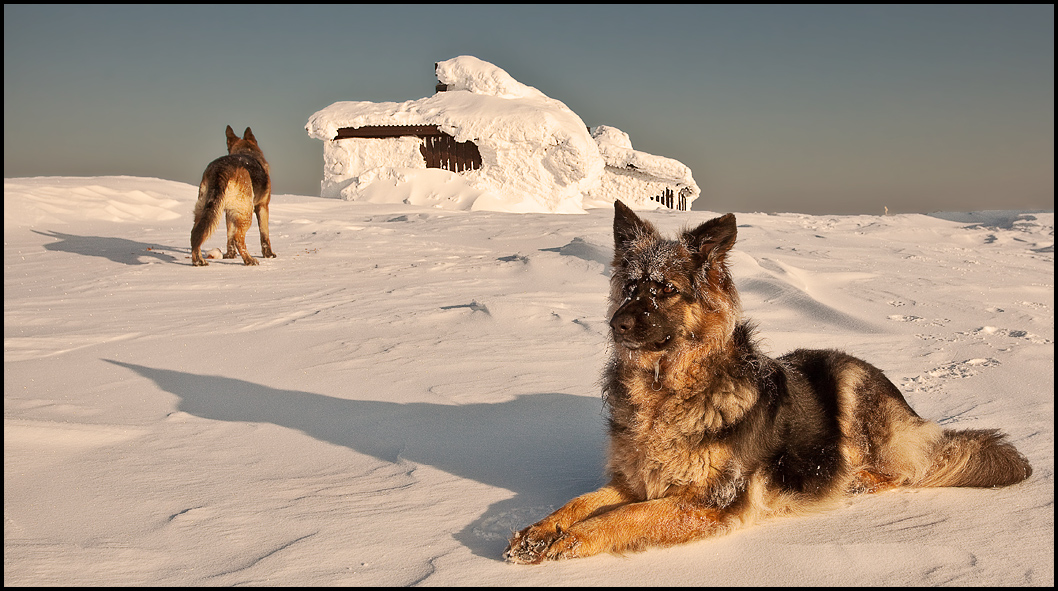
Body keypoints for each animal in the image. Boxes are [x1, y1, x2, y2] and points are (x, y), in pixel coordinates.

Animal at [191, 125, 277, 267]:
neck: (247, 151)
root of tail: (221, 169)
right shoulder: (263, 206)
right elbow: (264, 234)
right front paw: (269, 255)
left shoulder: (229, 212)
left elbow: (229, 236)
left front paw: (230, 256)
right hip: (247, 212)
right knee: (238, 238)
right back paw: (249, 260)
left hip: (205, 209)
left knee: (196, 233)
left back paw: (198, 261)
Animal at [503, 199, 1032, 562]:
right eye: (631, 286)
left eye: (665, 289)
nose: (617, 324)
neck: (665, 390)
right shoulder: (640, 481)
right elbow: (584, 500)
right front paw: (540, 531)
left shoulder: (710, 502)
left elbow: (624, 515)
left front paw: (571, 540)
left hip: (852, 388)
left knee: (907, 469)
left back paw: (858, 481)